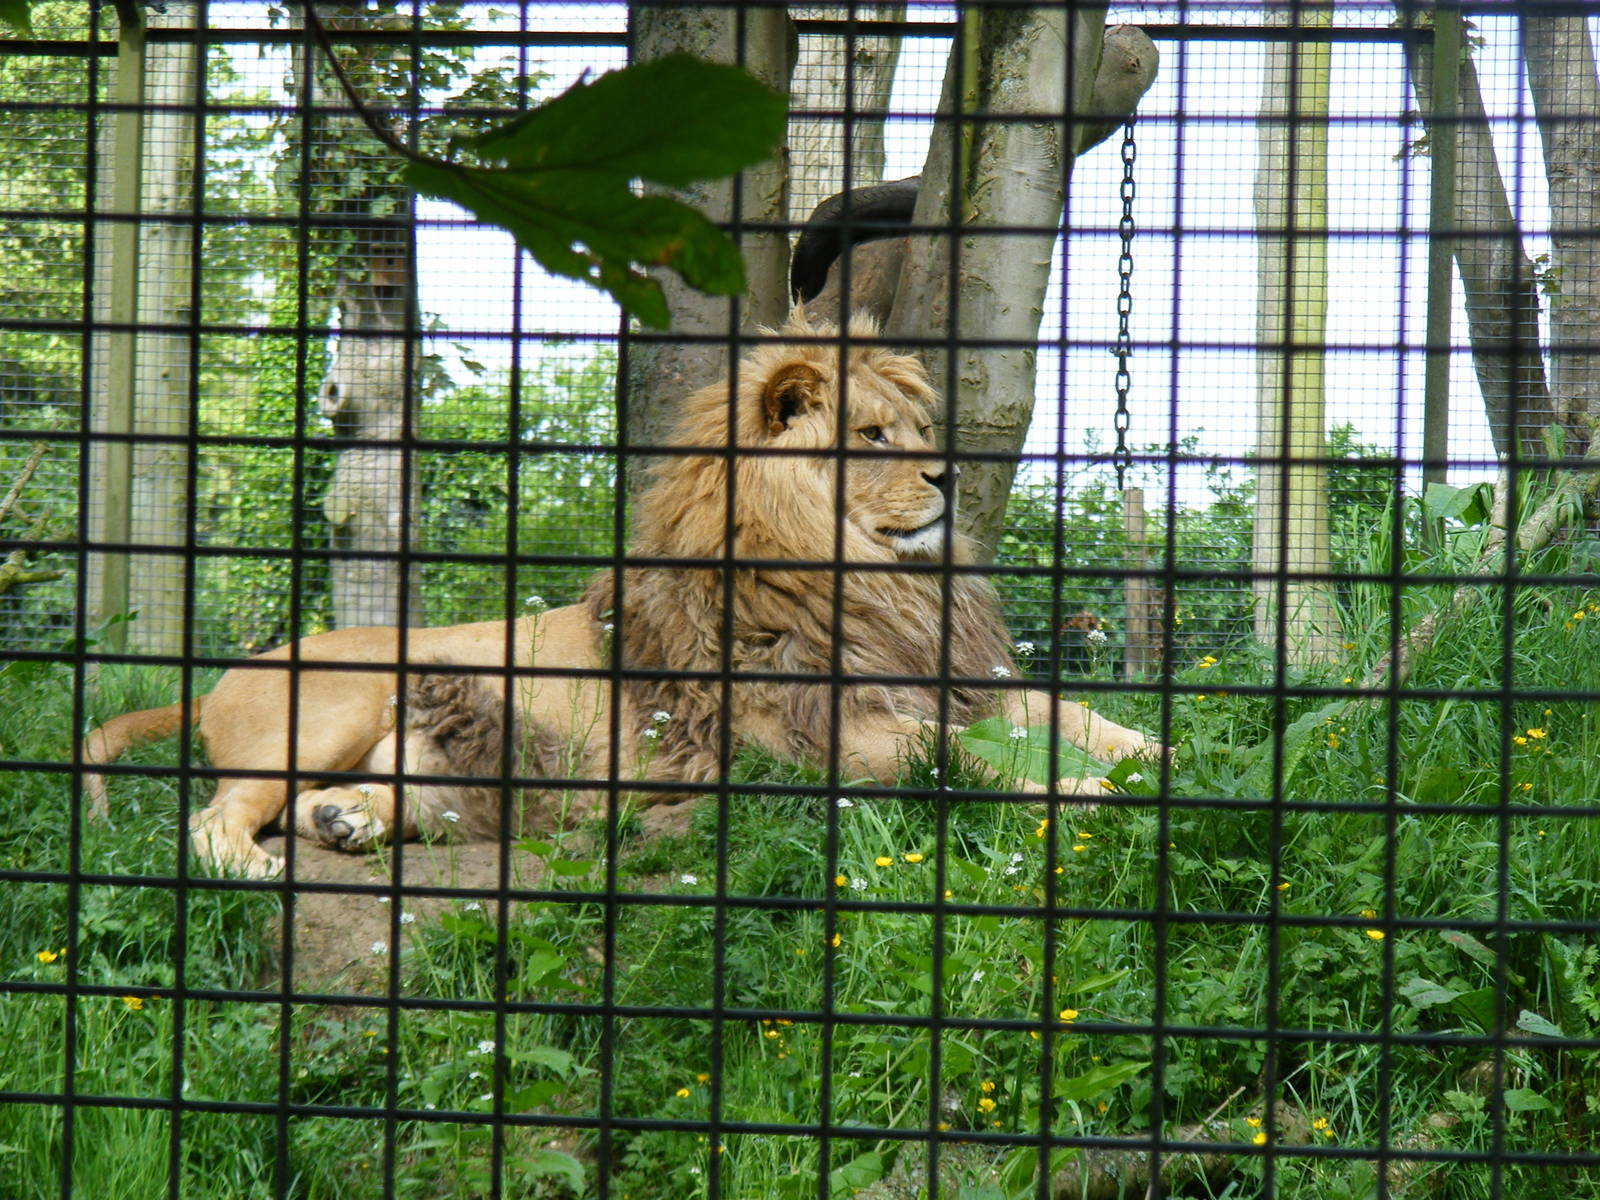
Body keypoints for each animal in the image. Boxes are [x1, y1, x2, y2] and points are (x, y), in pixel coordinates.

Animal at [82, 311, 1159, 877]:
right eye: (871, 438)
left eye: (916, 428)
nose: (947, 477)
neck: (875, 589)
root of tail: (214, 680)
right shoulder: (826, 742)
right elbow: (977, 767)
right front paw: (1097, 794)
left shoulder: (960, 685)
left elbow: (1077, 716)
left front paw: (1163, 757)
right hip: (333, 709)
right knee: (213, 817)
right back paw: (255, 861)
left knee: (385, 802)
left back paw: (345, 823)